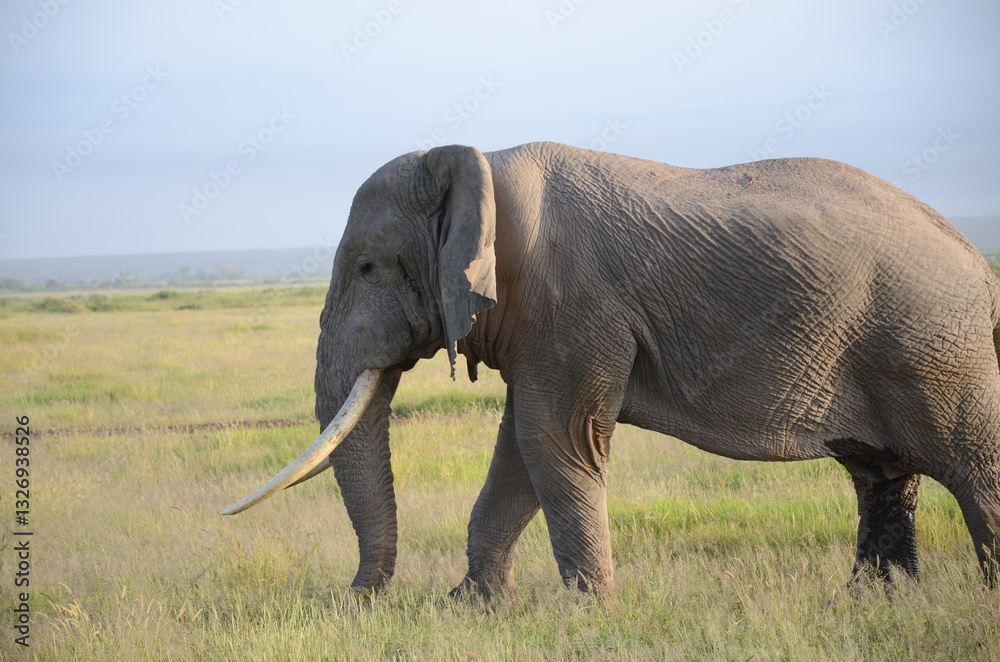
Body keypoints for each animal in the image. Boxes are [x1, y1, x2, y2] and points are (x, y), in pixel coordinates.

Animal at [224, 142, 1000, 596]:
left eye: (367, 267)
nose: (360, 598)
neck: (479, 165)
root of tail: (976, 260)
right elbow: (521, 450)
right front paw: (472, 608)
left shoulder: (571, 302)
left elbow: (551, 441)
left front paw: (587, 610)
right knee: (882, 473)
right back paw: (877, 603)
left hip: (933, 347)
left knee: (970, 467)